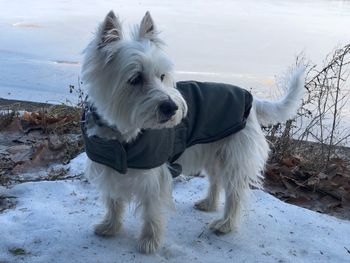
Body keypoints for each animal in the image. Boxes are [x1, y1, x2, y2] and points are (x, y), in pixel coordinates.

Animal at [80, 11, 304, 255]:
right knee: (216, 181)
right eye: (135, 78)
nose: (171, 108)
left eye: (162, 76)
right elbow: (113, 200)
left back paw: (225, 224)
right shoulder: (107, 166)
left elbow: (152, 210)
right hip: (214, 154)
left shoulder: (155, 176)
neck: (122, 137)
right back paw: (209, 203)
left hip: (234, 158)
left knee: (235, 193)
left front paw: (149, 241)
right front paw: (110, 226)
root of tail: (253, 103)